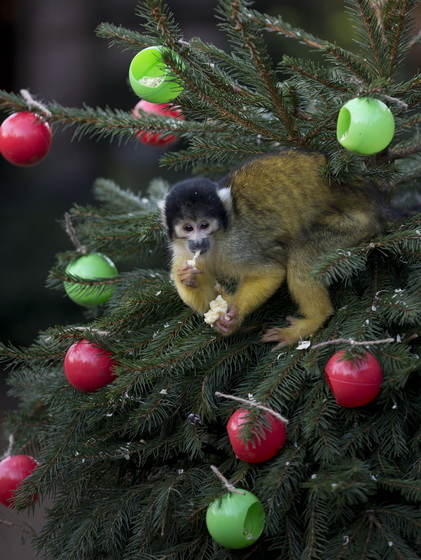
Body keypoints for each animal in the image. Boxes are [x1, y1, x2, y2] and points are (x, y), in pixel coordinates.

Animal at [160, 151, 384, 348]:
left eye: (204, 225)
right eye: (188, 228)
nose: (198, 242)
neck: (217, 241)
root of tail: (377, 204)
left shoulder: (238, 244)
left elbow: (270, 272)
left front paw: (236, 313)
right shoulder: (183, 253)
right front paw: (186, 278)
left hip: (355, 226)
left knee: (302, 254)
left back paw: (313, 320)